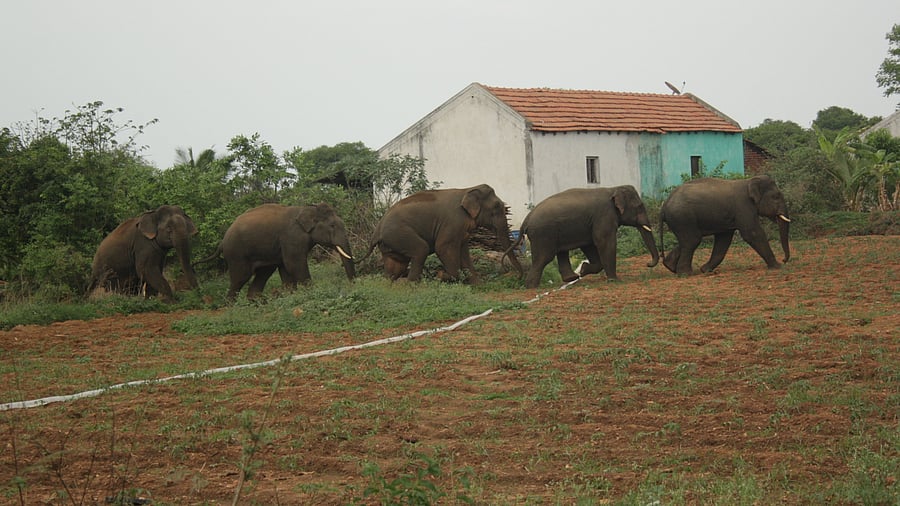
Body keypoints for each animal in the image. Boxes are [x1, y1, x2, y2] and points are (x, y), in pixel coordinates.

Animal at [215, 203, 355, 300]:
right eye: (332, 226)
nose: (353, 284)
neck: (308, 208)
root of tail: (222, 241)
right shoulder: (292, 237)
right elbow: (294, 264)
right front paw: (312, 293)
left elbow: (286, 267)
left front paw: (291, 295)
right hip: (236, 253)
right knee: (240, 278)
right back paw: (233, 307)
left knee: (264, 273)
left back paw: (258, 304)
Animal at [360, 184, 524, 283]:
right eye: (496, 207)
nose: (517, 277)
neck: (467, 189)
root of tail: (376, 232)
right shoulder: (453, 221)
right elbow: (443, 247)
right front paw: (443, 276)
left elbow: (464, 252)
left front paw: (477, 283)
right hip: (398, 234)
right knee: (421, 249)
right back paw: (411, 284)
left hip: (391, 242)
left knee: (395, 264)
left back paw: (391, 284)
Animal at [511, 185, 660, 289]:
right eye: (639, 207)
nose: (648, 264)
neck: (613, 189)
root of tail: (527, 219)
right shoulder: (604, 215)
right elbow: (604, 242)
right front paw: (614, 281)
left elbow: (589, 245)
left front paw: (583, 270)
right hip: (543, 234)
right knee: (544, 258)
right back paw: (532, 287)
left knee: (561, 252)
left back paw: (571, 278)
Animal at [659, 175, 791, 275]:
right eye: (776, 197)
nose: (784, 260)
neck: (749, 181)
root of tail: (664, 206)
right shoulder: (744, 206)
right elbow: (752, 233)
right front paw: (777, 267)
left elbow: (724, 239)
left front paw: (705, 270)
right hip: (683, 217)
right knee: (692, 240)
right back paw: (686, 274)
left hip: (680, 220)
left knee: (687, 240)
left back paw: (670, 267)